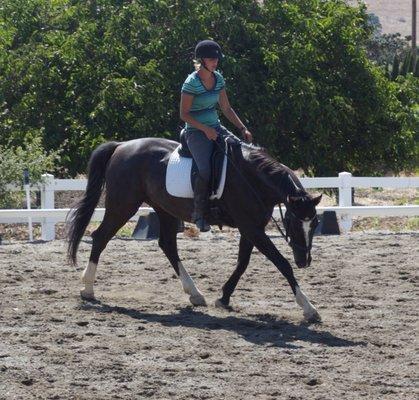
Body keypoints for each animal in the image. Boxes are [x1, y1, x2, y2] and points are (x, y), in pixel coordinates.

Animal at [67, 136, 324, 324]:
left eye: (314, 224)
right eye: (293, 222)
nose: (304, 261)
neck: (251, 178)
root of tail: (121, 146)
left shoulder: (252, 228)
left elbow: (243, 262)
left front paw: (224, 297)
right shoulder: (251, 228)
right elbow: (281, 263)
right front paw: (309, 308)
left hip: (163, 208)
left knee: (168, 245)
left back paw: (195, 294)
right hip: (123, 205)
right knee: (100, 237)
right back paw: (88, 289)